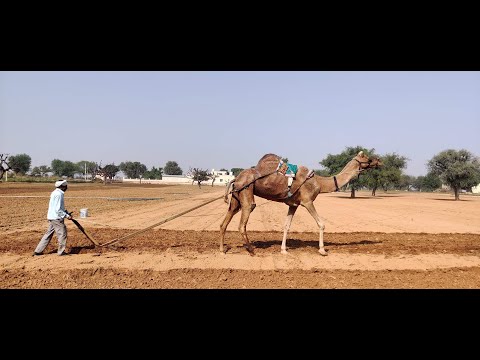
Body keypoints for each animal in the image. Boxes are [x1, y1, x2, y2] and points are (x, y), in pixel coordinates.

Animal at [219, 150, 380, 255]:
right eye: (368, 159)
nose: (379, 161)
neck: (320, 183)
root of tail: (236, 178)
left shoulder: (293, 205)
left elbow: (286, 226)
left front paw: (284, 250)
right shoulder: (307, 201)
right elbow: (321, 224)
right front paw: (322, 250)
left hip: (236, 197)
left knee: (225, 222)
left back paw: (222, 250)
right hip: (246, 191)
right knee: (243, 221)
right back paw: (251, 250)